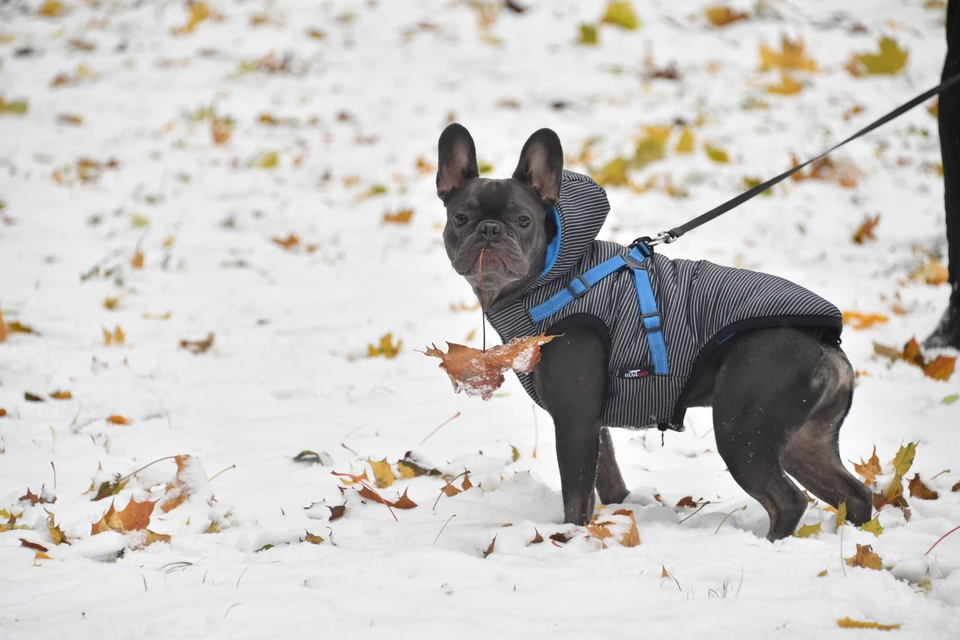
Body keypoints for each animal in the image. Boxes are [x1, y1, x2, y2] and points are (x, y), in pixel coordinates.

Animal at [438, 121, 872, 540]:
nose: (490, 230)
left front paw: (569, 537)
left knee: (787, 501)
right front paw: (614, 516)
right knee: (853, 493)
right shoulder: (593, 422)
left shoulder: (574, 420)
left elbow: (576, 494)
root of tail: (824, 345)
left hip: (741, 430)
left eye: (523, 221)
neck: (553, 276)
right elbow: (607, 478)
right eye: (460, 218)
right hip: (803, 441)